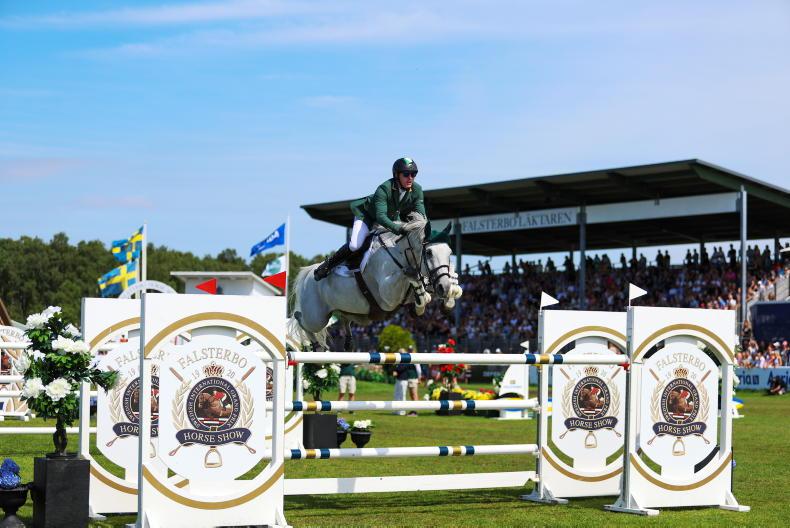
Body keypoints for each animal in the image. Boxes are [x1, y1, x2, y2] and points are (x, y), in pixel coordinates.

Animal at [288, 213, 462, 351]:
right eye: (429, 252)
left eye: (450, 252)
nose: (443, 287)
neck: (400, 253)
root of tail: (308, 272)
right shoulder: (388, 295)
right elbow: (412, 282)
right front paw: (421, 301)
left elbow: (426, 289)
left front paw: (451, 293)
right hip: (316, 317)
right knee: (301, 320)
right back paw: (316, 346)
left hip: (349, 311)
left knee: (344, 318)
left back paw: (348, 343)